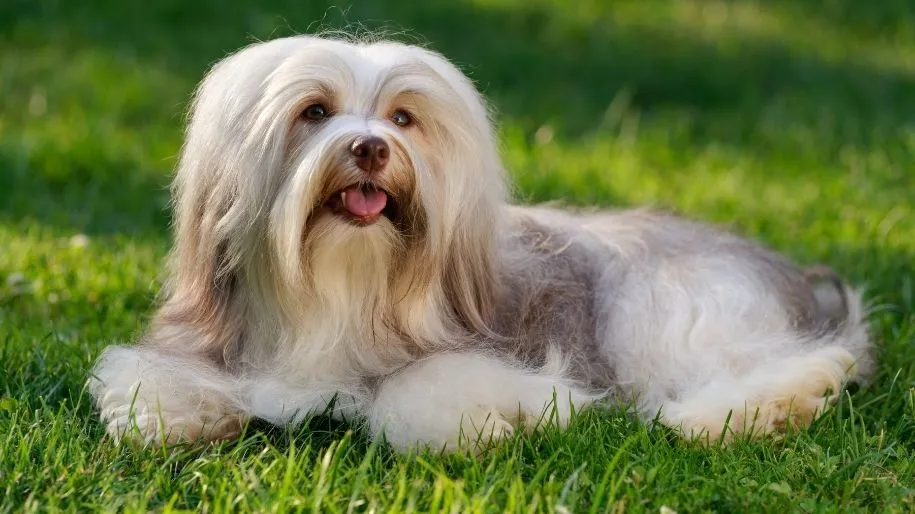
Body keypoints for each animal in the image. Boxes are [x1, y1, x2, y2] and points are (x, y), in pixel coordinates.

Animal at [89, 36, 876, 450]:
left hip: (664, 309)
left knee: (801, 363)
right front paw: (184, 411)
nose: (371, 148)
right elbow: (146, 383)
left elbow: (415, 393)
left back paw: (739, 411)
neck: (342, 288)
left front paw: (501, 418)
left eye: (403, 118)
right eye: (314, 111)